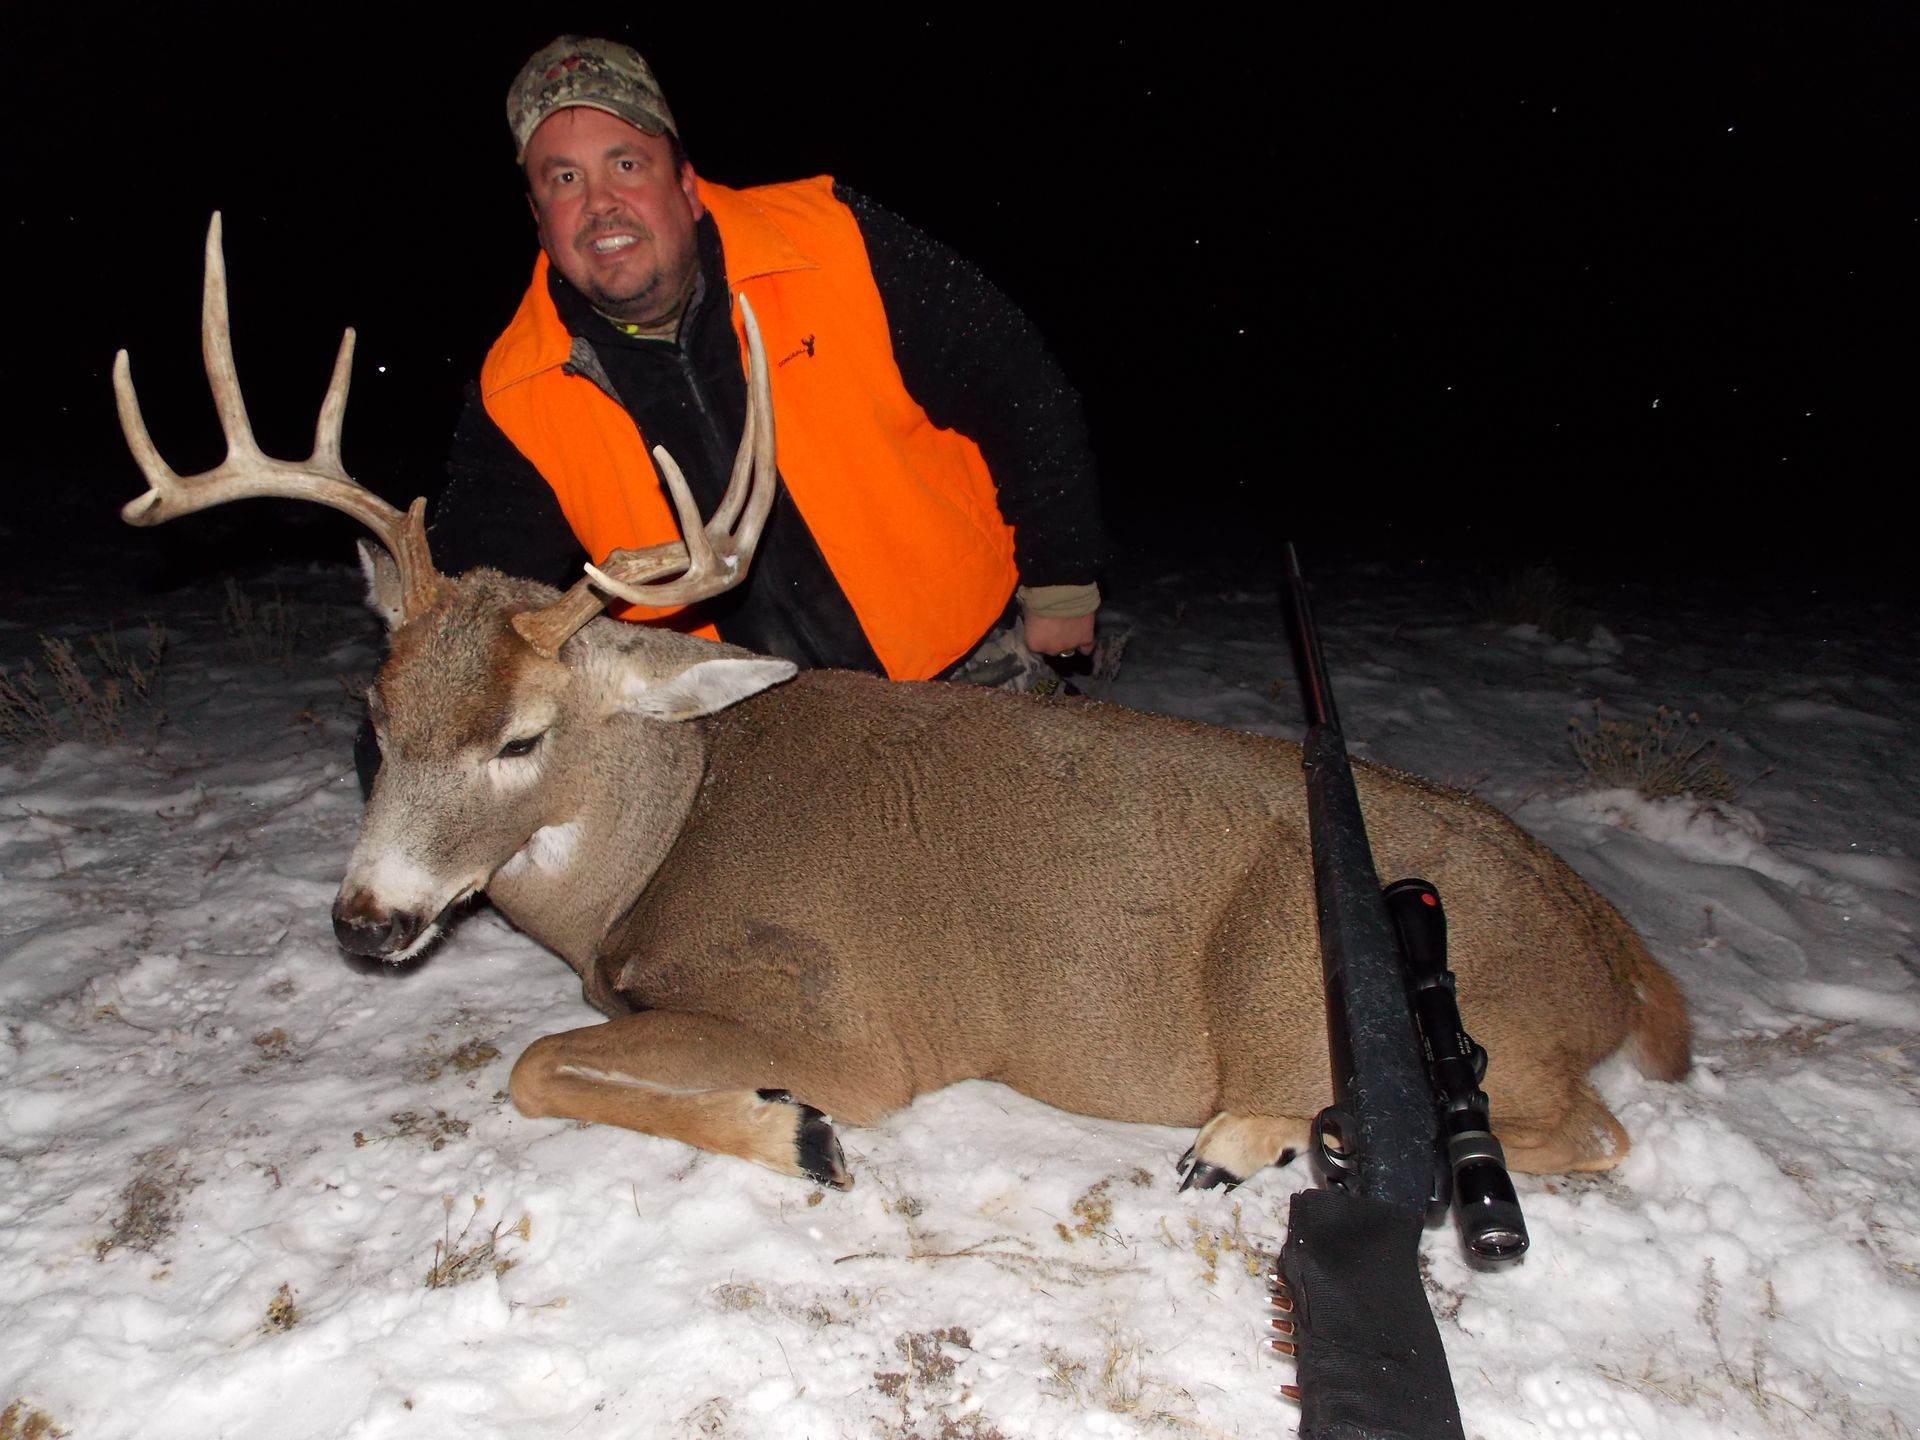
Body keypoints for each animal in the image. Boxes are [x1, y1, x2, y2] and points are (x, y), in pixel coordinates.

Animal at [114, 216, 1691, 1194]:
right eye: (370, 718)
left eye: (523, 736)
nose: (366, 920)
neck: (654, 850)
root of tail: (1613, 952)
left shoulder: (840, 1019)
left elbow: (538, 1063)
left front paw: (796, 1137)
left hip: (1349, 986)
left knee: (1590, 1131)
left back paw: (1259, 1134)